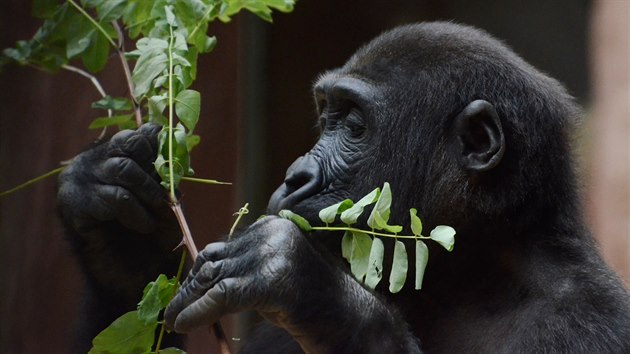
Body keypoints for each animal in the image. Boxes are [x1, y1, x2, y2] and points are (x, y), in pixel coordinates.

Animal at [59, 22, 630, 354]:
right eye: (326, 116)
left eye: (354, 124)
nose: (295, 176)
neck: (473, 272)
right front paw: (118, 239)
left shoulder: (588, 323)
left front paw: (310, 288)